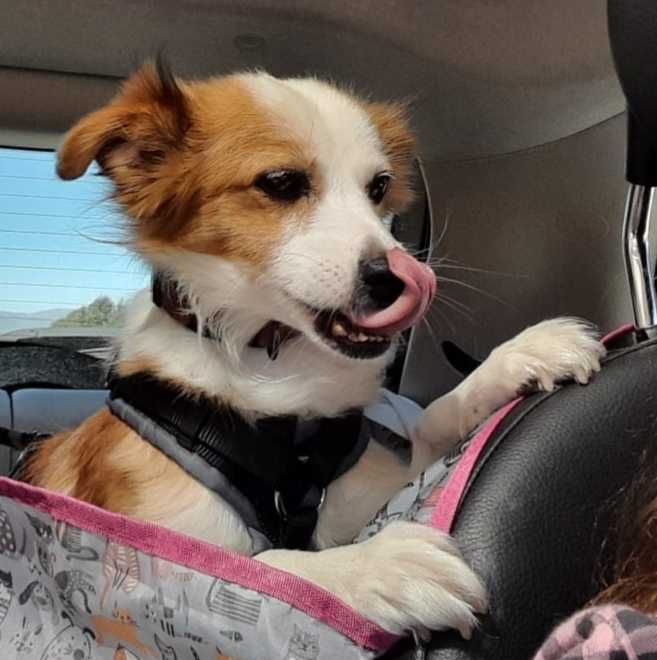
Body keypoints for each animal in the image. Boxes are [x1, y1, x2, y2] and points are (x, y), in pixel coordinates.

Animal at [24, 60, 605, 638]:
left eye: (379, 186)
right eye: (281, 183)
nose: (399, 279)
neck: (270, 363)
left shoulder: (368, 487)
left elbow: (433, 422)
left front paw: (524, 354)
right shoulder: (149, 540)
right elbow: (260, 568)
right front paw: (378, 564)